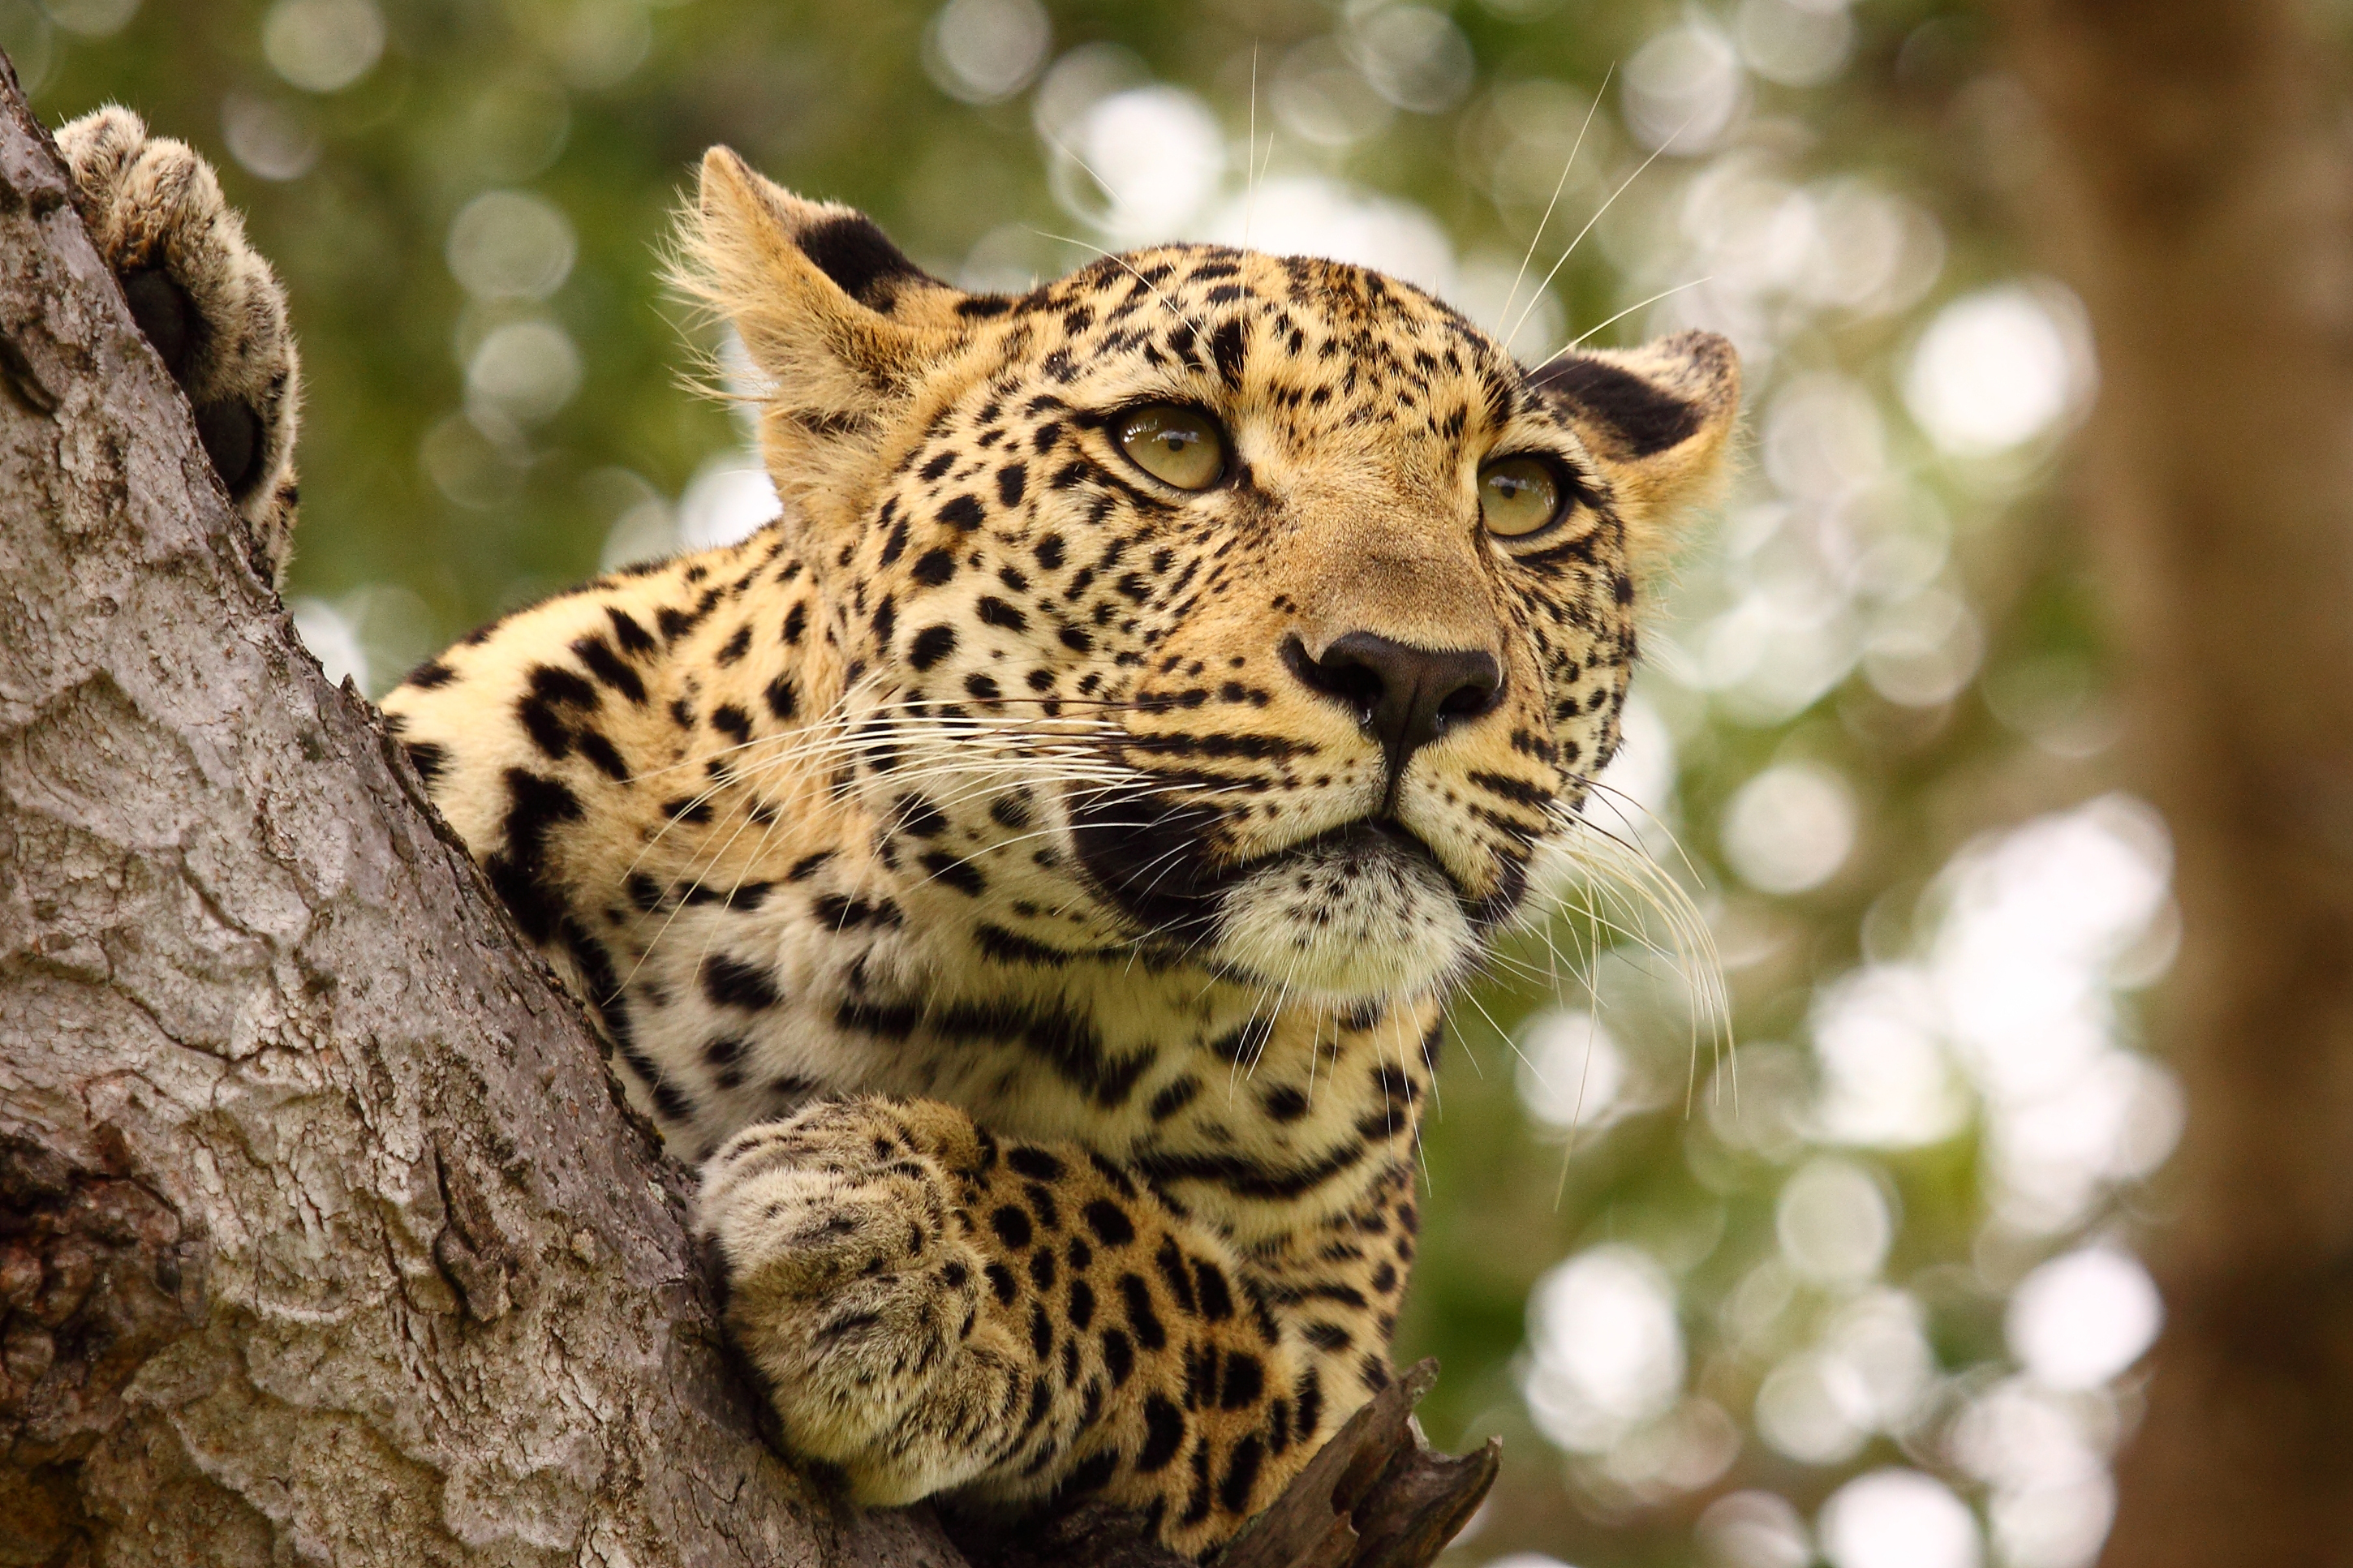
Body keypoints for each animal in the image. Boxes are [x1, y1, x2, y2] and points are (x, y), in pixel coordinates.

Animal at [55, 104, 1741, 1561]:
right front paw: (168, 295)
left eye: (1519, 498)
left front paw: (904, 1250)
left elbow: (1172, 1288)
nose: (1416, 674)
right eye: (1175, 446)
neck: (920, 960)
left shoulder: (1340, 1381)